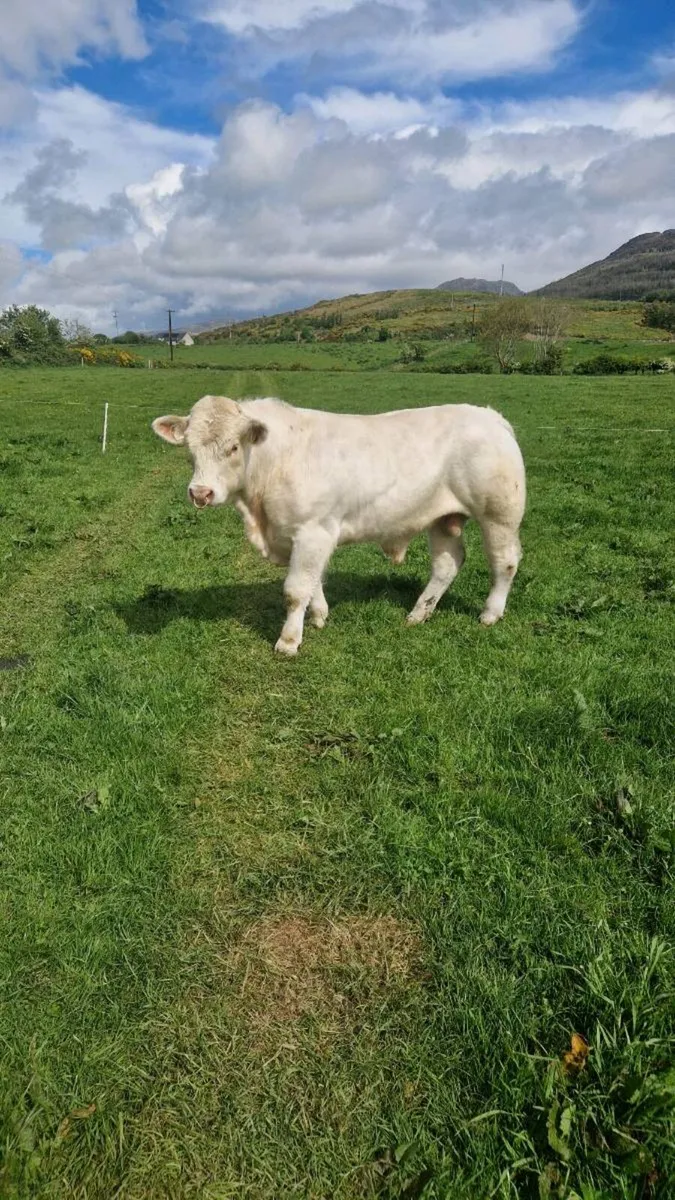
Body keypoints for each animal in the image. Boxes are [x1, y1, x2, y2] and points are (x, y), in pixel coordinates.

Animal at [152, 394, 526, 656]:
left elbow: (295, 589)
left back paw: (490, 613)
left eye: (232, 447)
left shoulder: (312, 530)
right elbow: (313, 580)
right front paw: (318, 615)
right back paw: (419, 613)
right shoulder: (303, 537)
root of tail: (490, 416)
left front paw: (289, 640)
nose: (200, 492)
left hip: (499, 514)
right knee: (447, 564)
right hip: (443, 518)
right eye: (189, 450)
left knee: (504, 562)